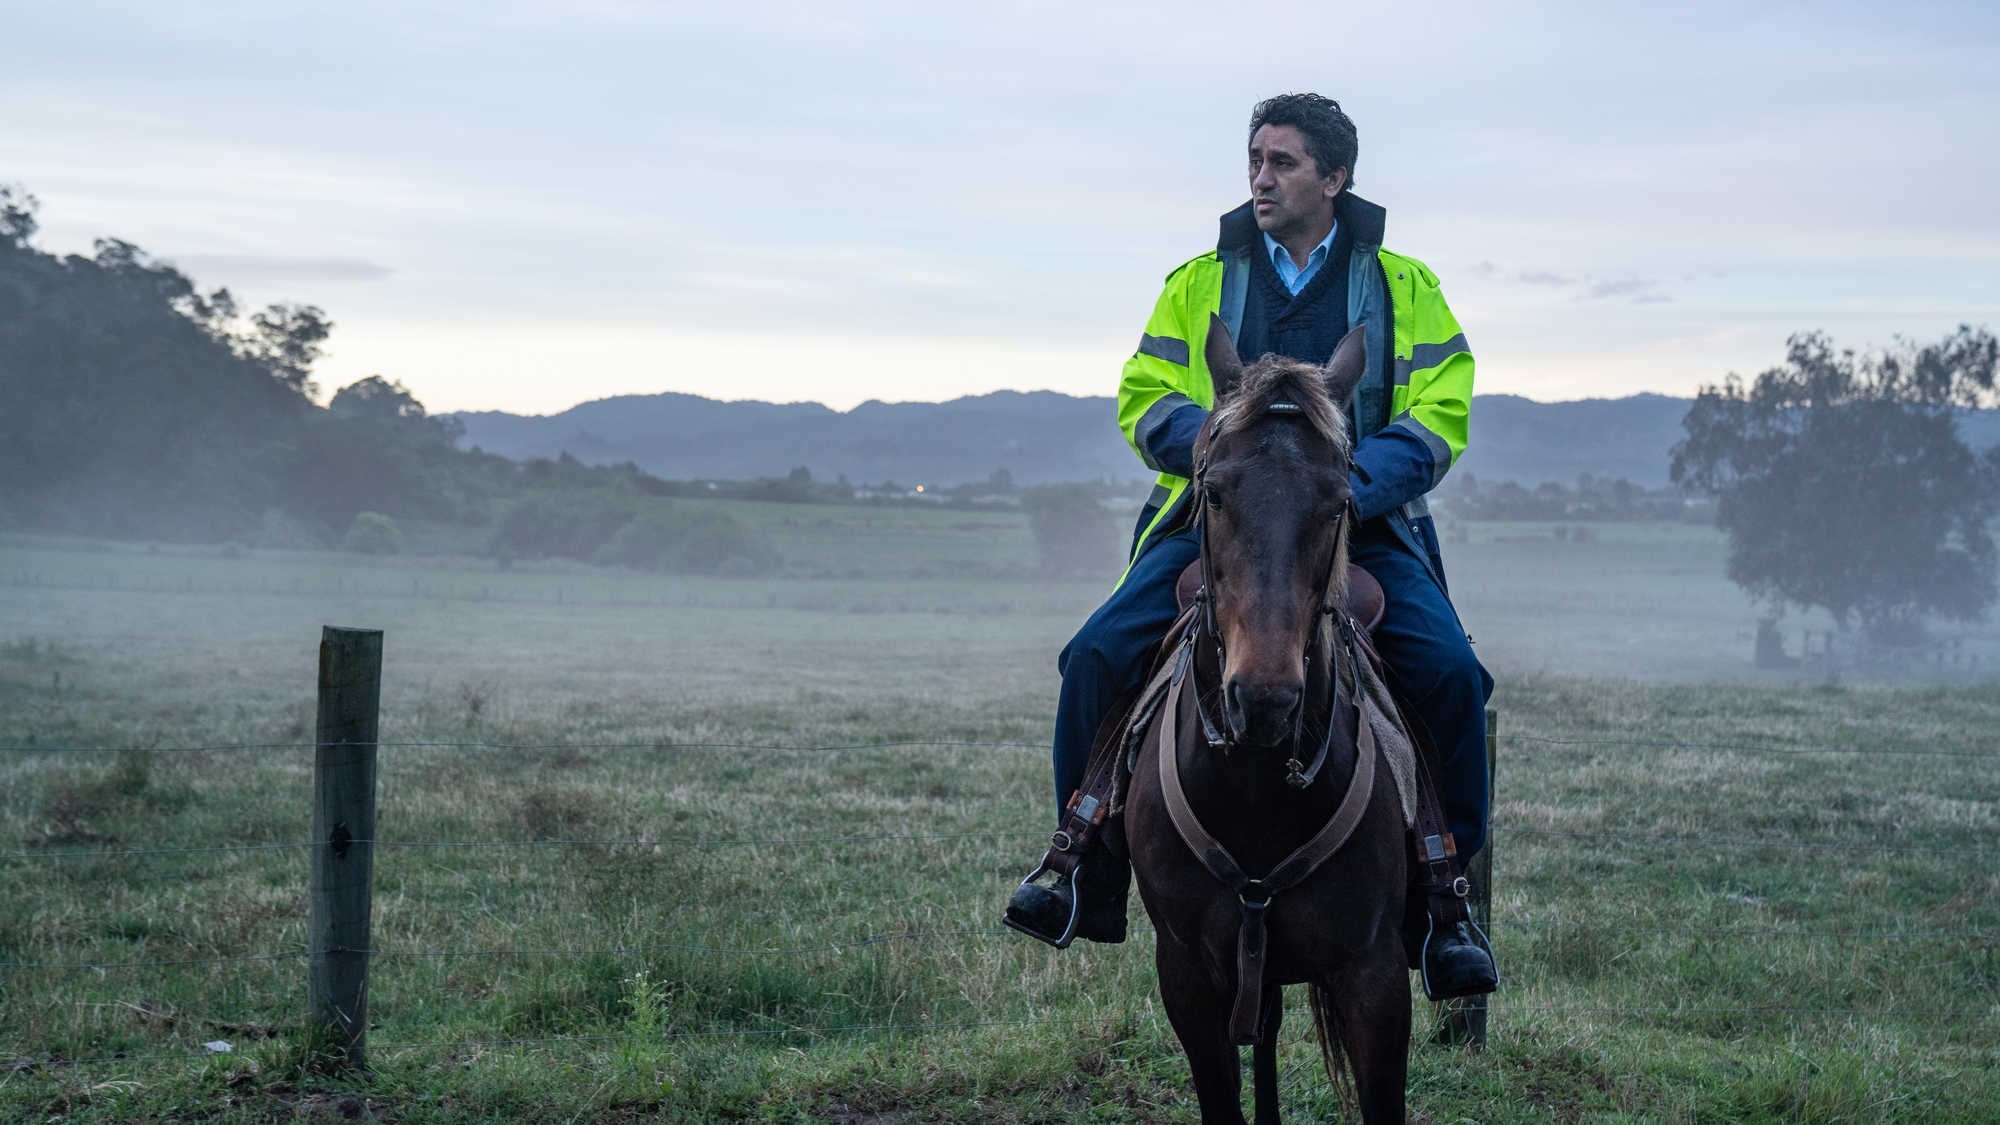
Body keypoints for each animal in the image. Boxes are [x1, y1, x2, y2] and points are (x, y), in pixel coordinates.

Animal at [1120, 318, 1416, 1120]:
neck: (1254, 789)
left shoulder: (1377, 977)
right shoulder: (1186, 975)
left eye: (1339, 501)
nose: (1264, 698)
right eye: (1214, 492)